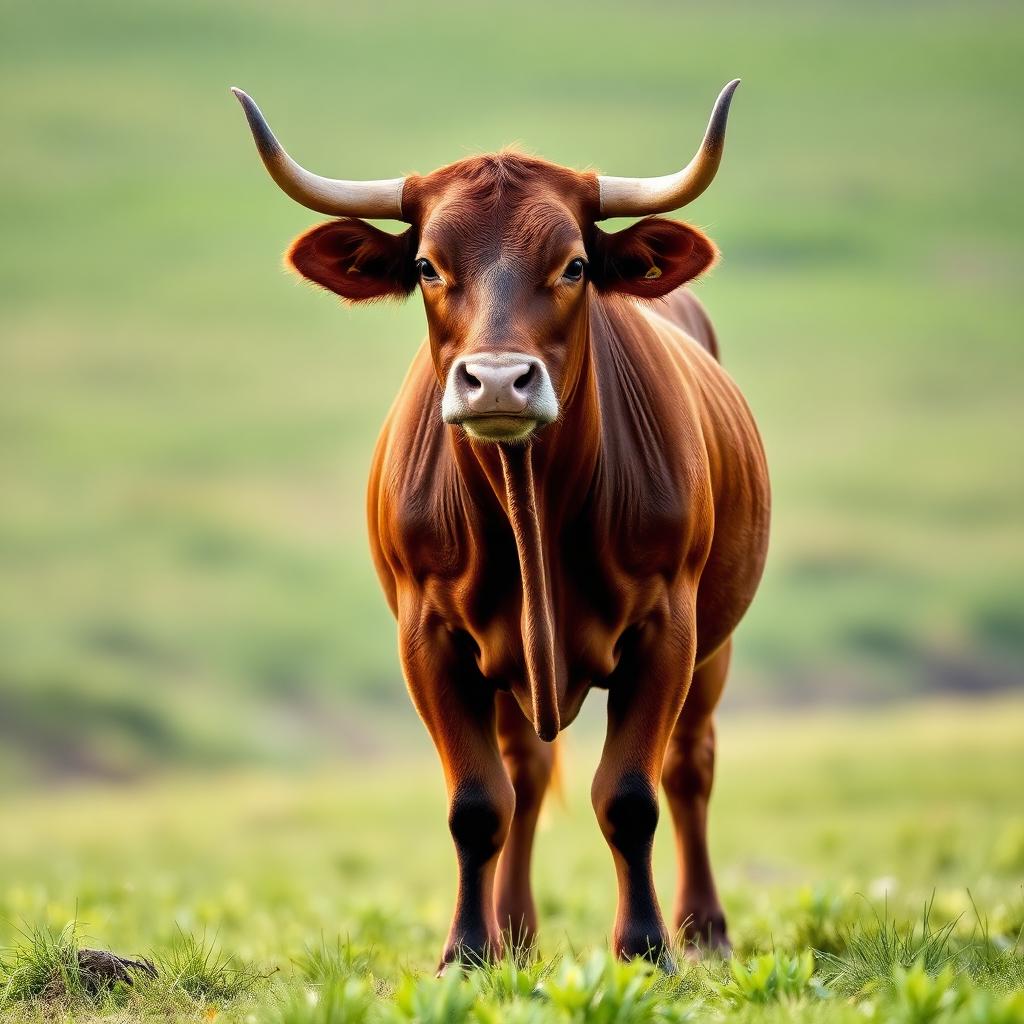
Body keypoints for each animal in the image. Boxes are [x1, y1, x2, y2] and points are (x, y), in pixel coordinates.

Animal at [233, 81, 770, 971]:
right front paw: (467, 952)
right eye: (426, 265)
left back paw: (704, 929)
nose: (494, 382)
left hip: (714, 645)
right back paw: (516, 930)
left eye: (575, 264)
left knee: (690, 766)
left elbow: (631, 794)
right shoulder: (428, 636)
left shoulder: (670, 625)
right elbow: (480, 802)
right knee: (527, 774)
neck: (531, 509)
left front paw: (645, 947)